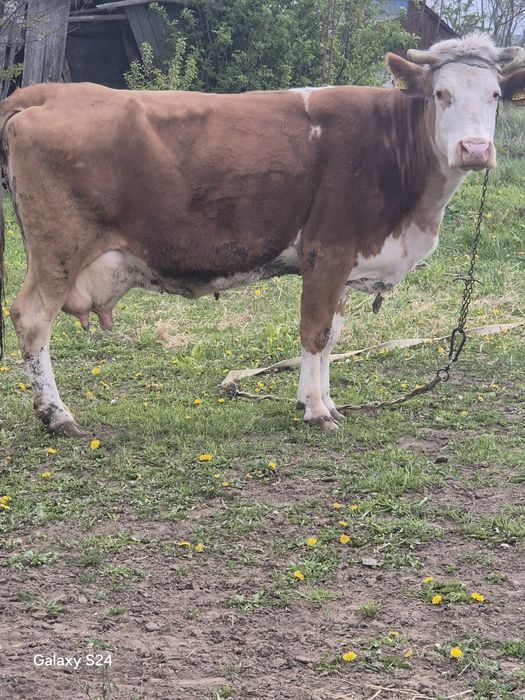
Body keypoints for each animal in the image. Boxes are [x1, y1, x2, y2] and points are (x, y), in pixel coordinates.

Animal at [1, 34, 525, 436]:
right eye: (441, 93)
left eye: (496, 96)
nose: (475, 149)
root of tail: (47, 93)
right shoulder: (327, 252)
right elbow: (314, 333)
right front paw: (316, 411)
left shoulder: (345, 264)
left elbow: (332, 335)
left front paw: (322, 401)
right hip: (58, 250)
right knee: (32, 319)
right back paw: (56, 415)